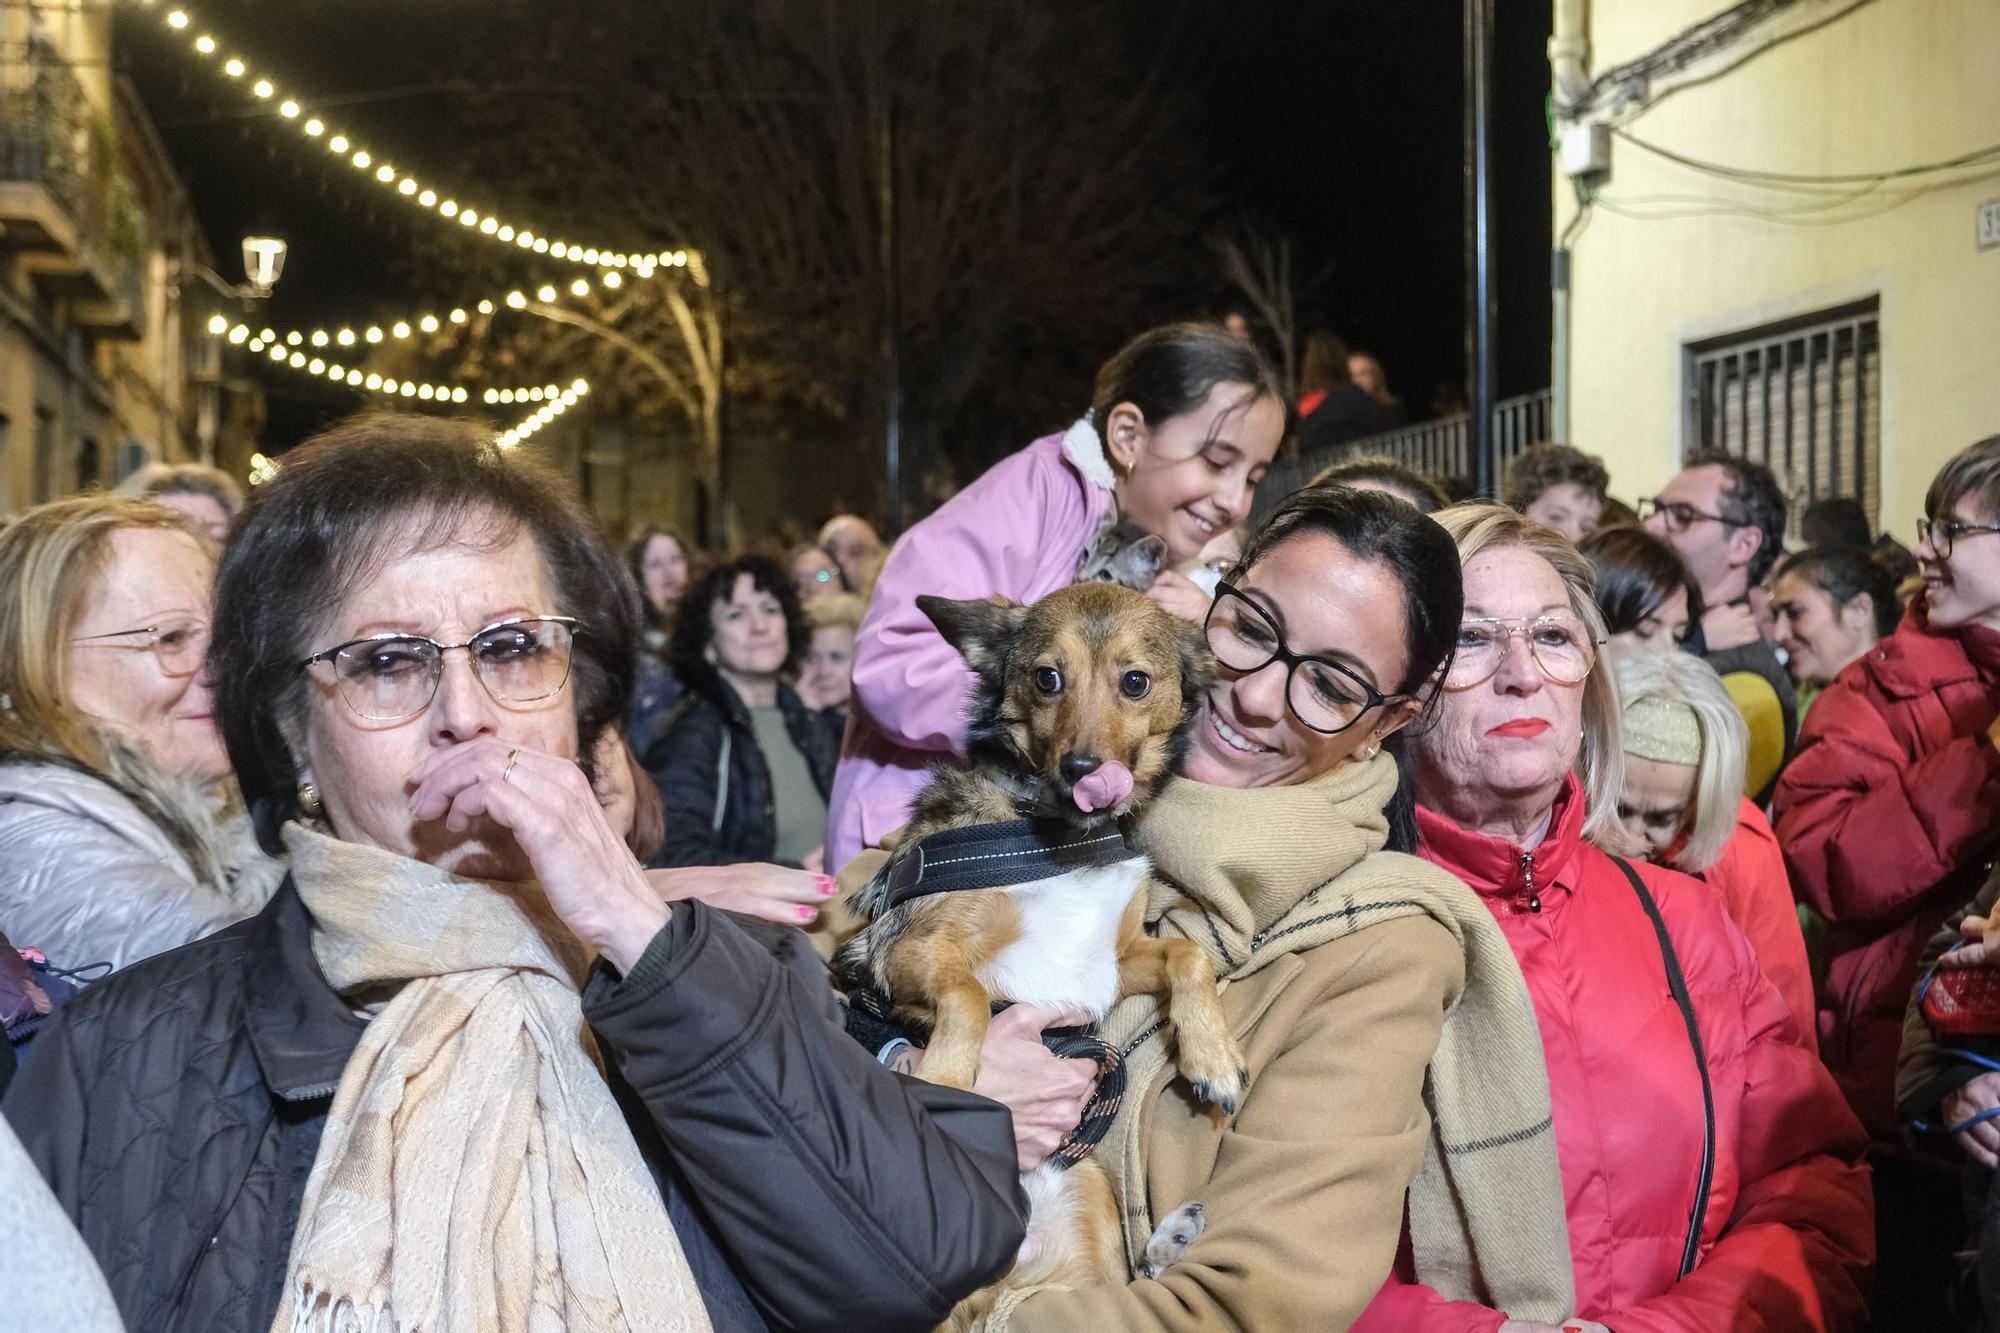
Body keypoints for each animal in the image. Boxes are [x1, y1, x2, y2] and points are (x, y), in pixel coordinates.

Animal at [832, 584, 1240, 1320]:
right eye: (1047, 678)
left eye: (1135, 682)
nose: (1081, 768)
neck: (1057, 833)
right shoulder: (901, 949)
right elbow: (968, 996)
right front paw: (944, 1083)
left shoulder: (1115, 957)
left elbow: (1188, 956)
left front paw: (1212, 1055)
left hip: (1085, 1205)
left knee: (1122, 1285)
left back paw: (1169, 1240)